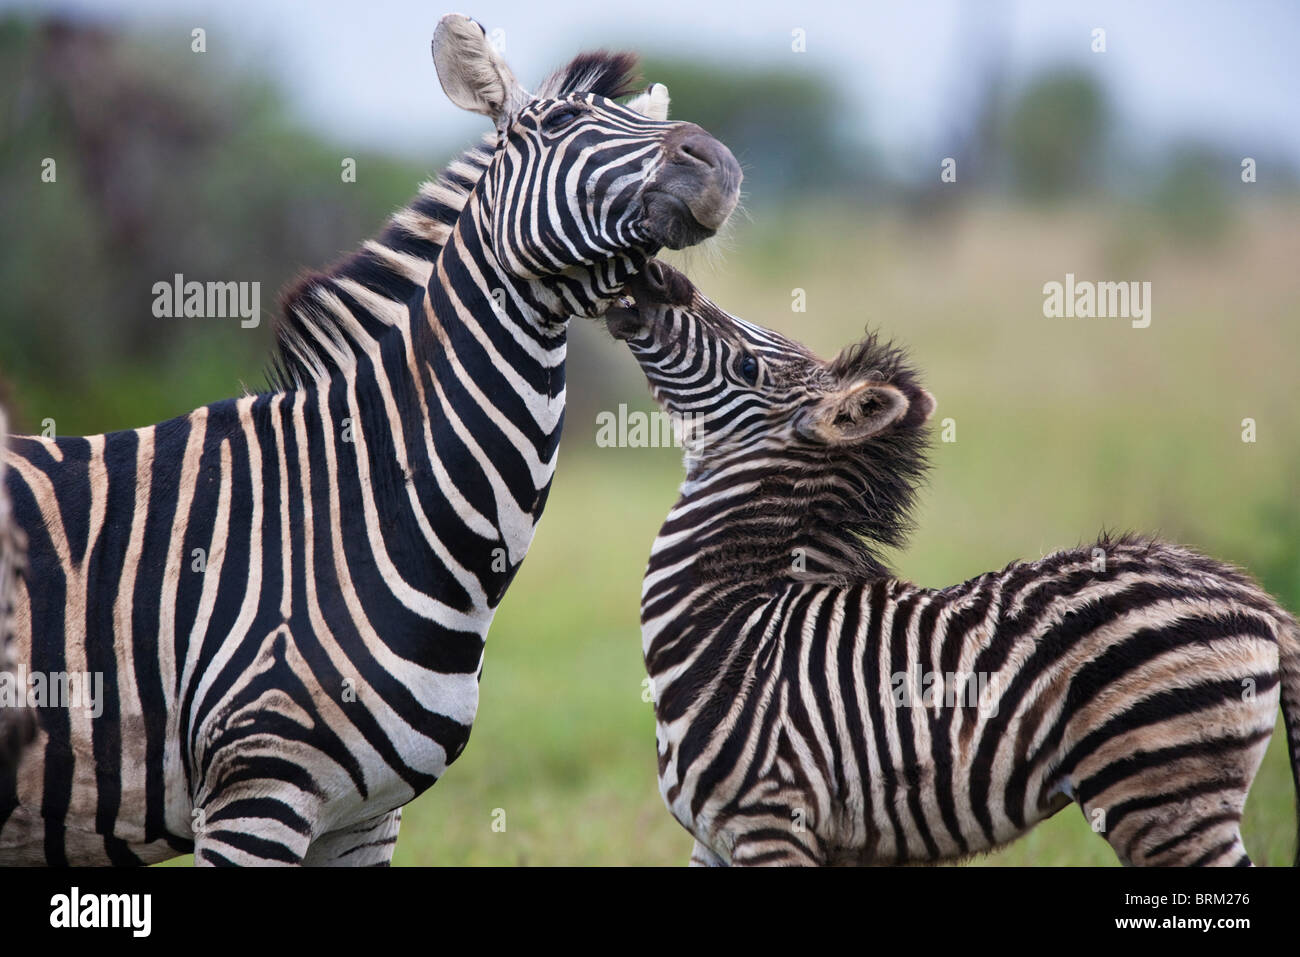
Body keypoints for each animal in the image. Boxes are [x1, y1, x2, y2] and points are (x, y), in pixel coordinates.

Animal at [608, 260, 1300, 868]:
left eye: (748, 364)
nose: (657, 275)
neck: (731, 622)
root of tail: (1251, 595)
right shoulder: (717, 840)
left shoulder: (770, 823)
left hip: (1162, 791)